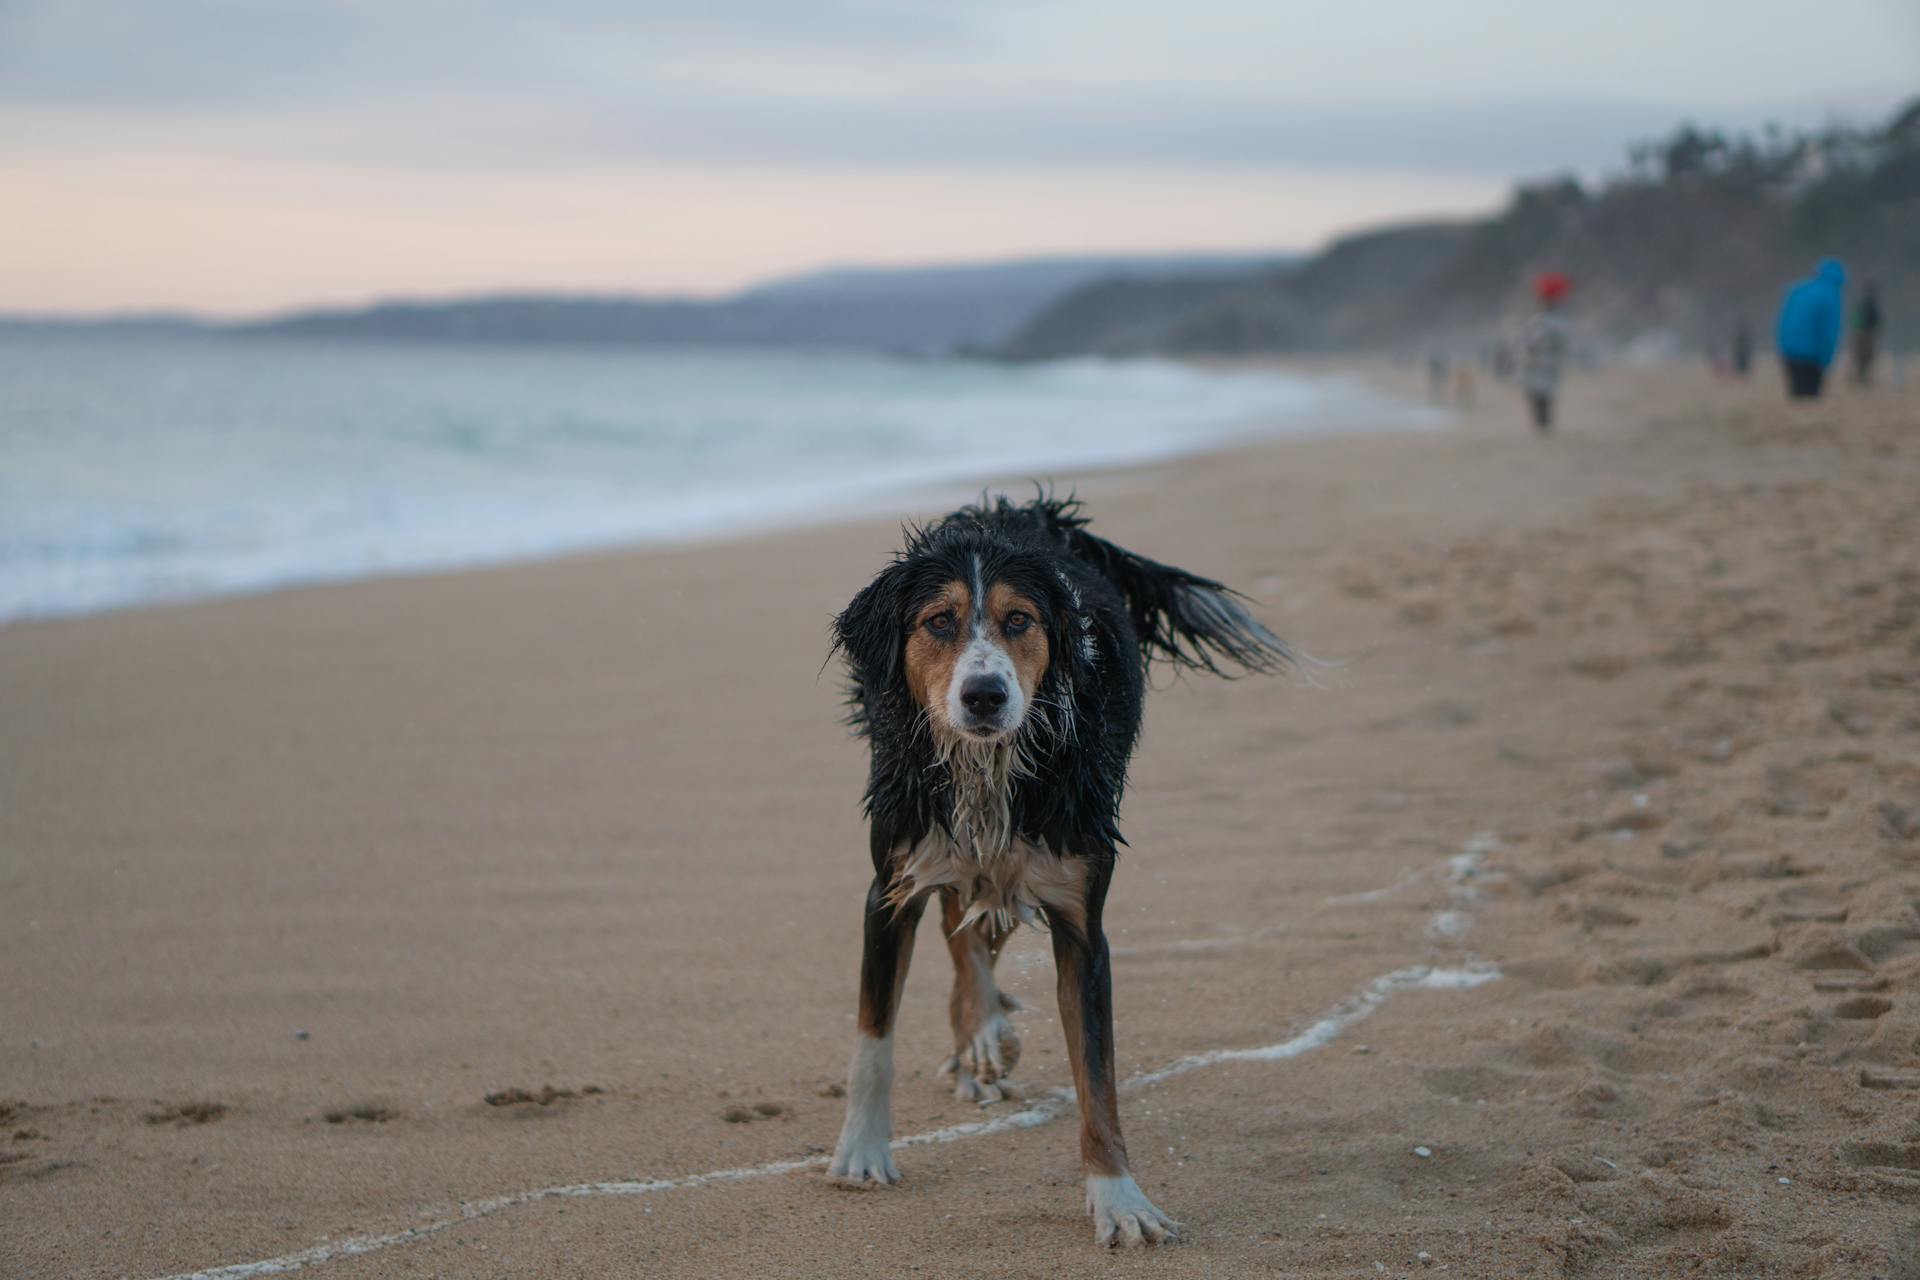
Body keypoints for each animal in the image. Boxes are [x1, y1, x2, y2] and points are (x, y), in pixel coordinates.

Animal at [821, 495, 1282, 1251]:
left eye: (1019, 621)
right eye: (939, 621)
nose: (983, 695)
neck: (991, 768)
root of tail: (1025, 510)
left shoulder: (1079, 917)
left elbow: (1097, 1079)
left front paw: (1119, 1198)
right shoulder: (890, 884)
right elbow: (873, 1036)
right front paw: (860, 1151)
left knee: (975, 918)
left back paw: (982, 1034)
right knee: (961, 920)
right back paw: (980, 1036)